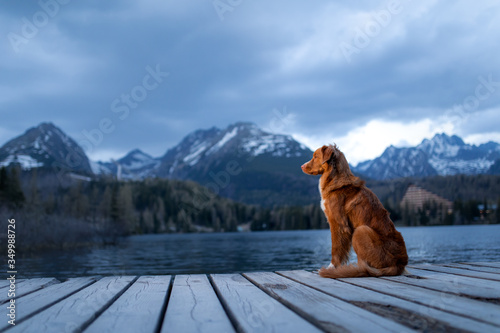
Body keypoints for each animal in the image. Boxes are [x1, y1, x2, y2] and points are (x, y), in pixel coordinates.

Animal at [300, 144, 406, 276]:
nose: (301, 166)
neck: (335, 179)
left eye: (315, 156)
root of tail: (399, 264)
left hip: (360, 230)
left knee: (366, 267)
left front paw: (332, 267)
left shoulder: (338, 224)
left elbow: (336, 248)